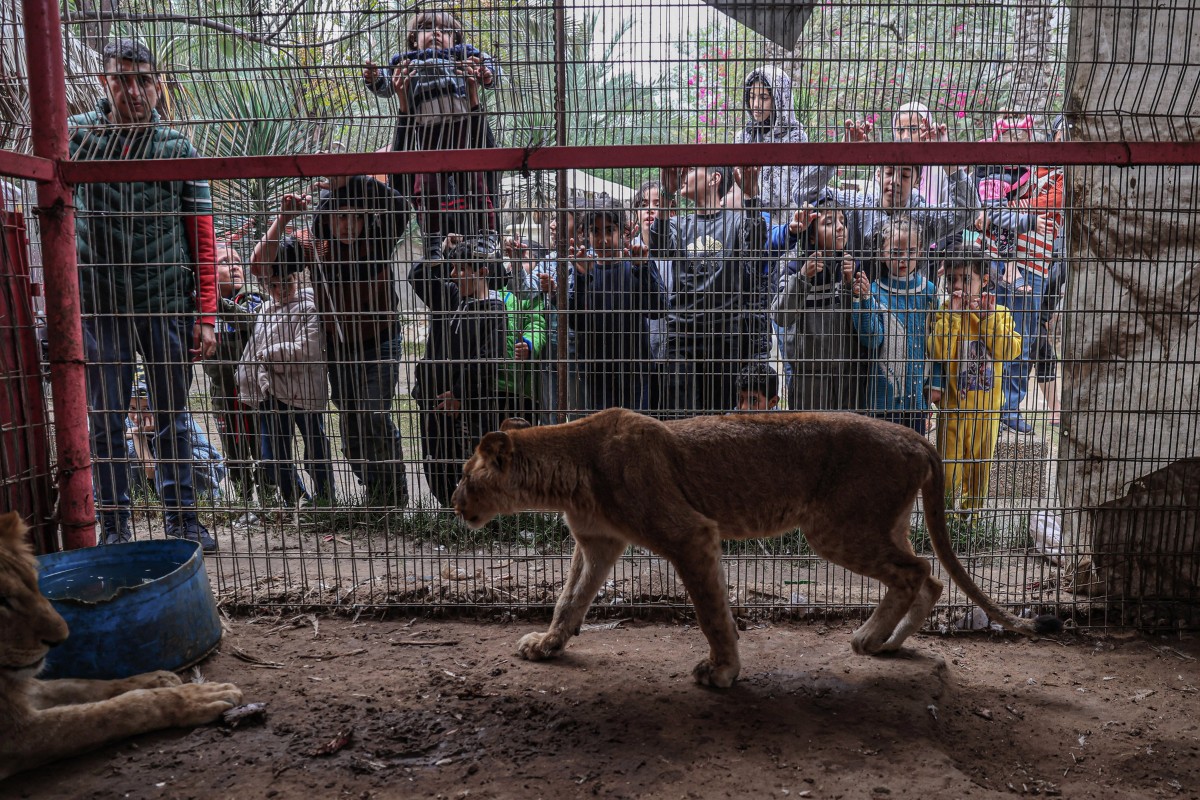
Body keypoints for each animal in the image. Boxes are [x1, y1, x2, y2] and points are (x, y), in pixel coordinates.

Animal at [0, 512, 243, 781]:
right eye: (2, 600)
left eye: (34, 585)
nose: (61, 637)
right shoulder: (19, 734)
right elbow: (114, 711)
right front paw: (196, 697)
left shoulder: (27, 689)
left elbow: (83, 684)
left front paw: (159, 679)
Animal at [452, 409, 1061, 688]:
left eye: (463, 473)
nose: (454, 501)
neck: (568, 472)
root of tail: (916, 436)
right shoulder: (599, 544)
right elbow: (568, 600)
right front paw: (547, 645)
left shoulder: (691, 533)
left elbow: (712, 612)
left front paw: (722, 672)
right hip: (878, 525)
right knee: (926, 573)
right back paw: (884, 642)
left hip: (836, 528)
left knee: (918, 573)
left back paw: (872, 639)